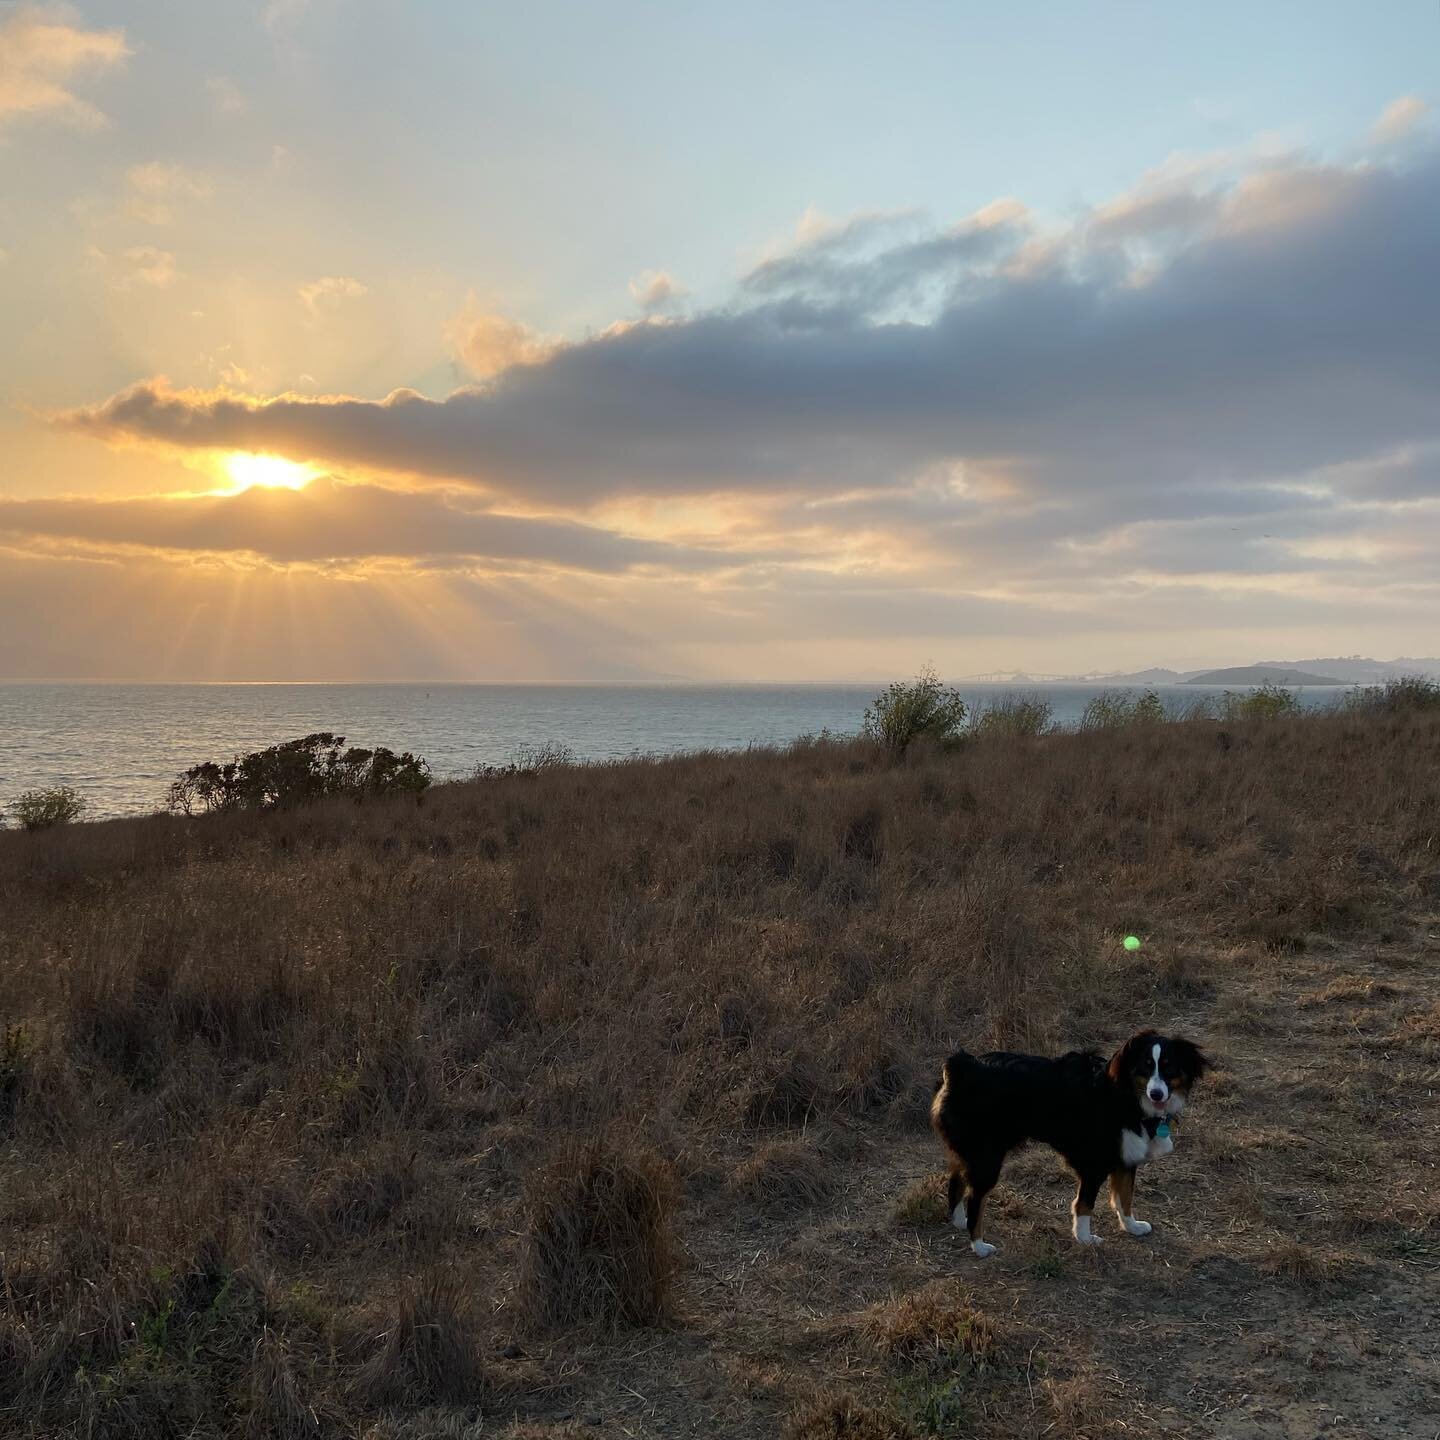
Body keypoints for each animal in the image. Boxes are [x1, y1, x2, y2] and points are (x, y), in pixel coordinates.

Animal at [927, 1031, 1209, 1255]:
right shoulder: (1095, 1164)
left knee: (956, 1182)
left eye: (1169, 1068)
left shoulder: (1126, 1159)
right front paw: (1084, 1238)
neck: (1126, 1095)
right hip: (987, 1157)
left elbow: (1125, 1198)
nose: (1157, 1094)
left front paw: (1131, 1226)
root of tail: (961, 1066)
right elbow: (1084, 1204)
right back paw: (979, 1246)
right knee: (975, 1198)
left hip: (970, 1153)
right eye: (1146, 1066)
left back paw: (959, 1221)